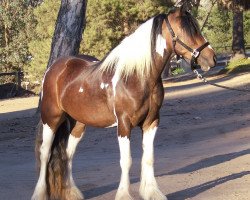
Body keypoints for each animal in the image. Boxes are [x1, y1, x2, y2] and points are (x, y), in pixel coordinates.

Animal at [30, 5, 215, 200]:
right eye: (185, 30)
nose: (212, 58)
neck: (136, 76)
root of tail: (56, 68)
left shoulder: (152, 122)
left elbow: (148, 158)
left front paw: (152, 192)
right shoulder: (124, 125)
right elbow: (126, 161)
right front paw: (124, 195)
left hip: (78, 124)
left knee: (67, 154)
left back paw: (72, 192)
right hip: (51, 119)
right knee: (45, 153)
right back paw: (40, 193)